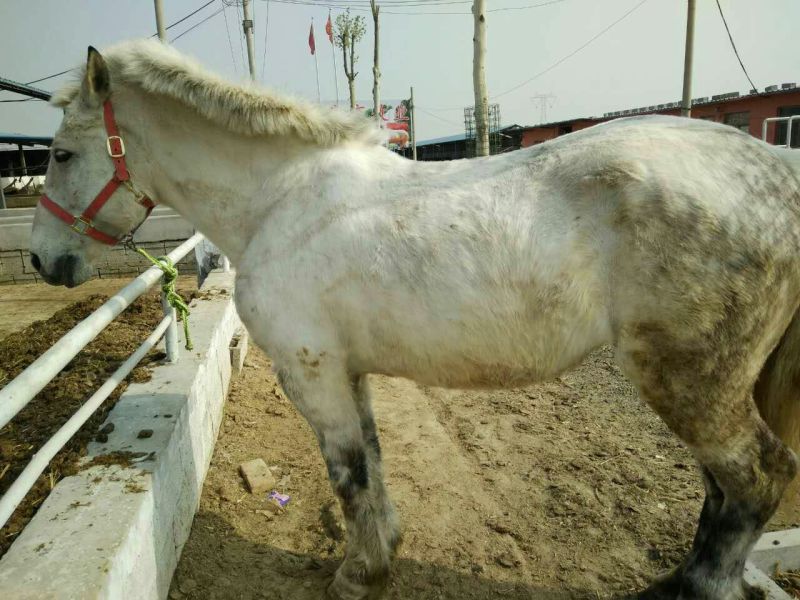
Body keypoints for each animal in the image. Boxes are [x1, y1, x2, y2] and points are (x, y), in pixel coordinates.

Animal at [29, 40, 800, 600]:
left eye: (61, 154)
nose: (41, 259)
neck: (282, 201)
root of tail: (777, 172)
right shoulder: (347, 372)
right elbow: (370, 463)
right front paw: (382, 554)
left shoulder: (312, 374)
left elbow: (347, 474)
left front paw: (357, 576)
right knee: (722, 489)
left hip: (690, 380)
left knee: (757, 478)